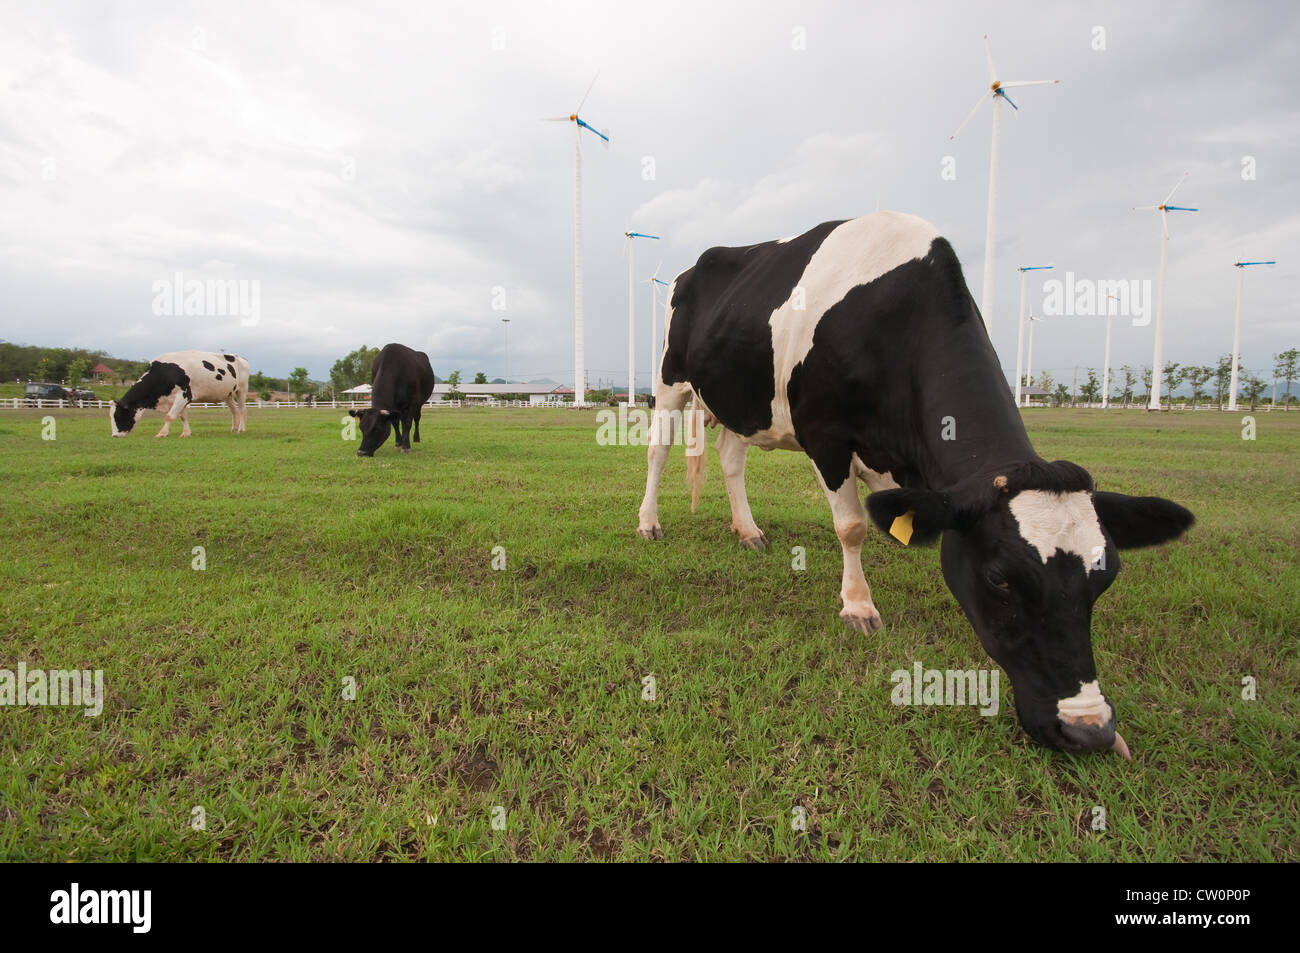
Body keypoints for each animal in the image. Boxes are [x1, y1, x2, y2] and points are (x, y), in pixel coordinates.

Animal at [110, 351, 249, 438]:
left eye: (119, 415)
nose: (115, 435)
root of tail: (239, 357)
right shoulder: (180, 399)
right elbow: (183, 417)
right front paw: (186, 433)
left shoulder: (183, 395)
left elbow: (169, 416)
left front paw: (162, 433)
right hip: (227, 394)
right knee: (234, 410)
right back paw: (234, 428)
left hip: (242, 389)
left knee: (242, 409)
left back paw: (241, 429)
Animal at [637, 212, 1194, 757]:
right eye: (999, 578)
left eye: (1107, 575)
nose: (1089, 729)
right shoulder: (826, 436)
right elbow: (853, 526)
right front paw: (858, 606)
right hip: (669, 380)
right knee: (658, 451)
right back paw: (648, 524)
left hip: (741, 403)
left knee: (731, 458)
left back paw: (748, 531)